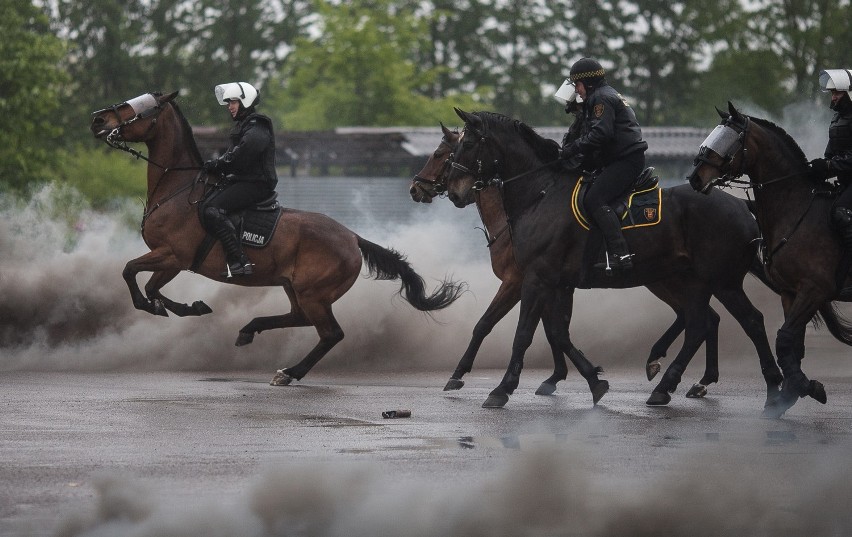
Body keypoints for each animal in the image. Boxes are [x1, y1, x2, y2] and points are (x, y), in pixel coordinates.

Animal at [90, 93, 462, 386]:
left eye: (139, 107)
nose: (98, 119)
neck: (179, 191)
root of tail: (353, 237)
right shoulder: (170, 260)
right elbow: (150, 286)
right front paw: (185, 307)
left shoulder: (172, 256)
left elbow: (131, 273)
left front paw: (168, 306)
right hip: (296, 288)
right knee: (299, 318)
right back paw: (249, 330)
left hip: (314, 294)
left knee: (330, 333)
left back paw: (289, 372)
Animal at [416, 123, 784, 404]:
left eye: (447, 152)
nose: (418, 188)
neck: (539, 196)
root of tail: (740, 205)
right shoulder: (556, 284)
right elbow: (556, 331)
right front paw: (586, 379)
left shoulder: (528, 280)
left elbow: (513, 330)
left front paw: (497, 386)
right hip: (684, 281)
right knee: (701, 321)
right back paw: (675, 379)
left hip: (720, 281)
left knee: (743, 320)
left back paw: (766, 384)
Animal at [684, 101, 852, 418]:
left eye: (730, 139)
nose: (695, 178)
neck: (797, 210)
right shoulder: (790, 292)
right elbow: (792, 344)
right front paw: (790, 393)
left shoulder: (814, 290)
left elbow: (785, 338)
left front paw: (802, 388)